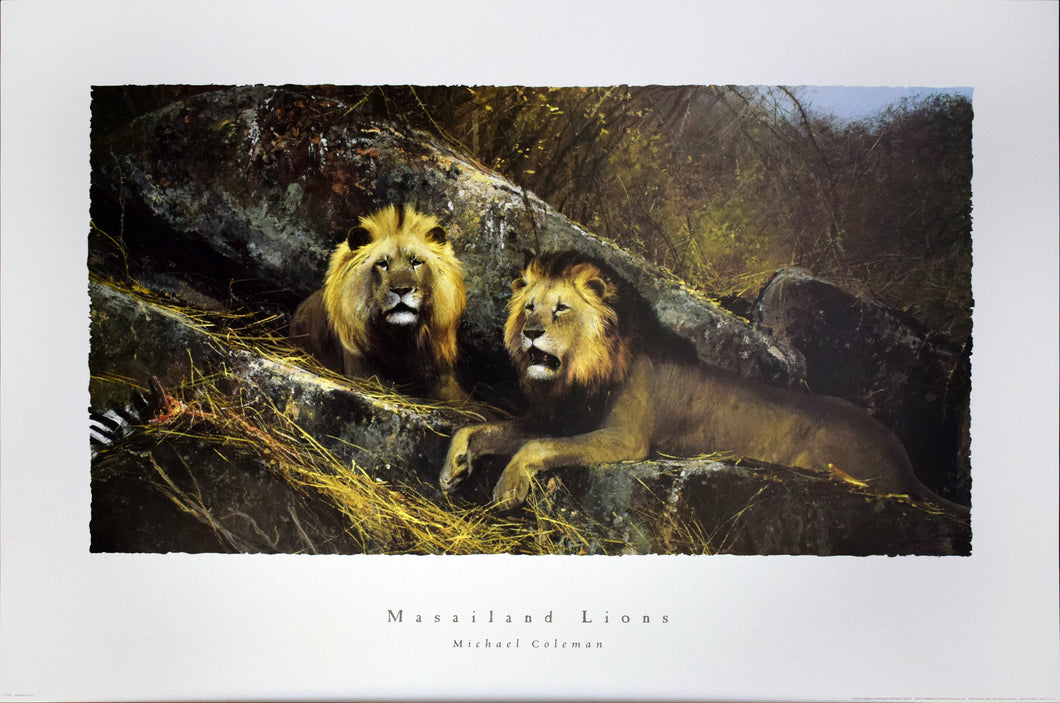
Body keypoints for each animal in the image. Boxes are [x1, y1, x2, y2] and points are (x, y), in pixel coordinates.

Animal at [439, 251, 967, 514]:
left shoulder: (626, 439)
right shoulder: (556, 417)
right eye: (529, 306)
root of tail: (906, 462)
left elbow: (537, 447)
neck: (579, 374)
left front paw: (507, 488)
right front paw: (454, 466)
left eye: (561, 309)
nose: (529, 332)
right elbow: (484, 429)